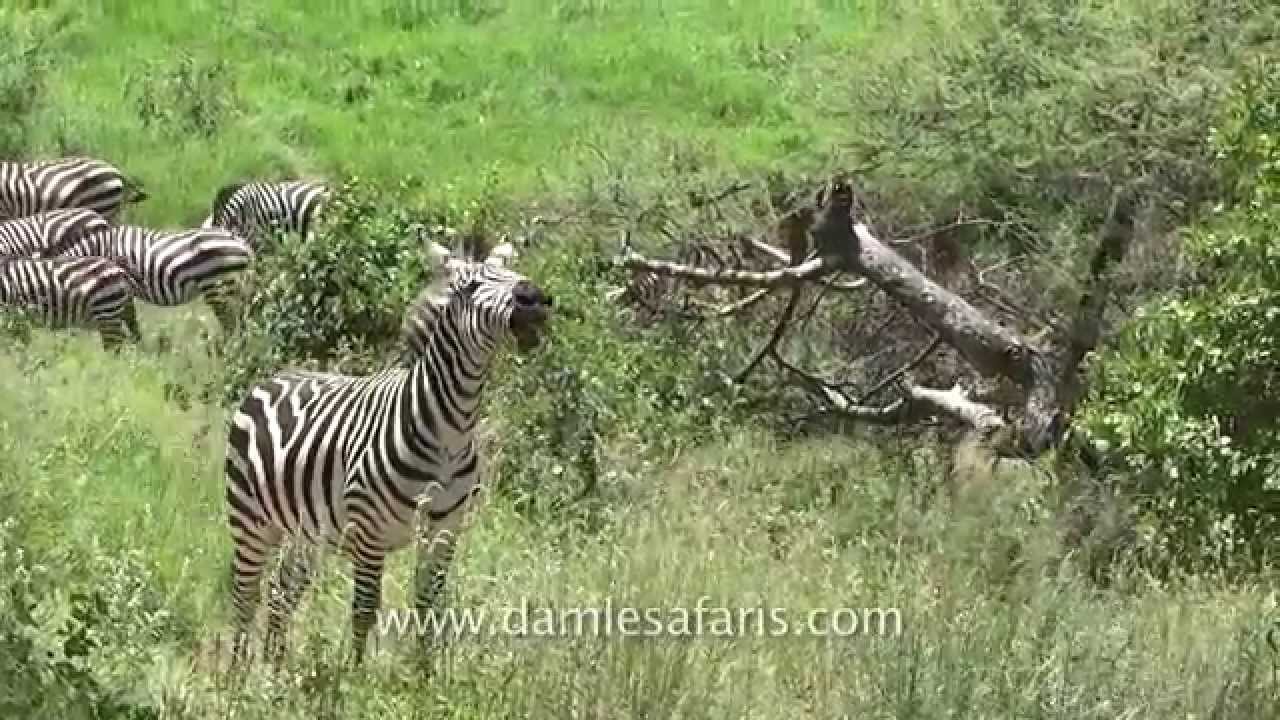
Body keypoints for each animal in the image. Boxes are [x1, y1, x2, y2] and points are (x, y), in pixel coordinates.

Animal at [36, 224, 255, 334]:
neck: (100, 249)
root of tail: (241, 243)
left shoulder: (118, 287)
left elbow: (130, 320)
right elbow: (132, 321)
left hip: (217, 287)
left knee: (230, 325)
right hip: (236, 288)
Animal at [223, 240, 553, 667]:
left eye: (515, 274)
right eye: (469, 286)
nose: (533, 297)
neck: (450, 432)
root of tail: (274, 377)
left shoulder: (444, 531)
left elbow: (429, 608)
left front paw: (423, 676)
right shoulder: (370, 532)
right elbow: (364, 610)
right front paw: (355, 677)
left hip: (306, 530)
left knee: (282, 594)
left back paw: (274, 671)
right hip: (250, 520)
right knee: (245, 597)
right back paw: (236, 675)